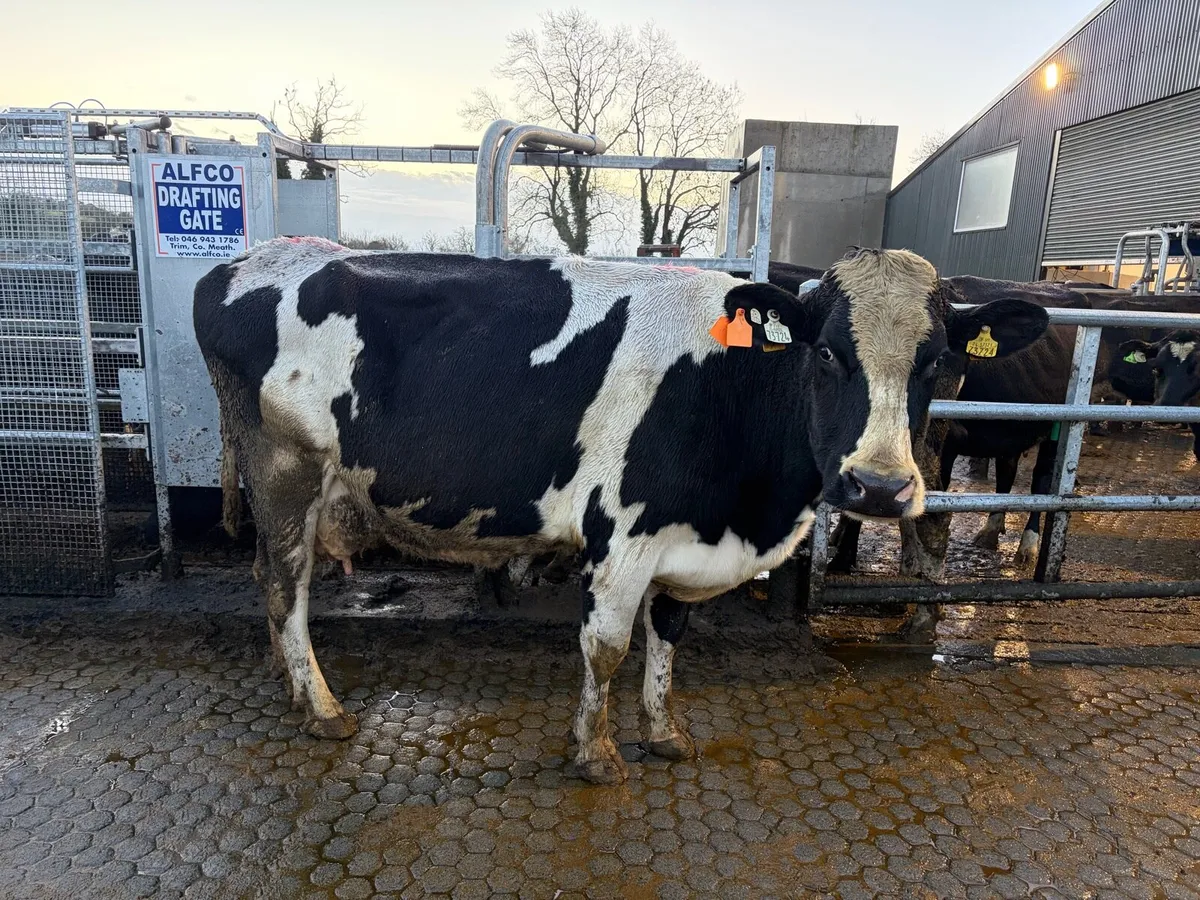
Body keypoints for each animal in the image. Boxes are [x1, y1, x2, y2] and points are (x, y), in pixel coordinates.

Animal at [193, 238, 1048, 784]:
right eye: (830, 352)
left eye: (935, 360)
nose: (878, 488)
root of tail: (242, 262)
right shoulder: (624, 535)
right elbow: (605, 649)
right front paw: (595, 754)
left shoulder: (683, 541)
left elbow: (668, 637)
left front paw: (663, 733)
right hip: (286, 472)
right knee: (286, 588)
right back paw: (322, 705)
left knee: (269, 583)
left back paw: (290, 686)